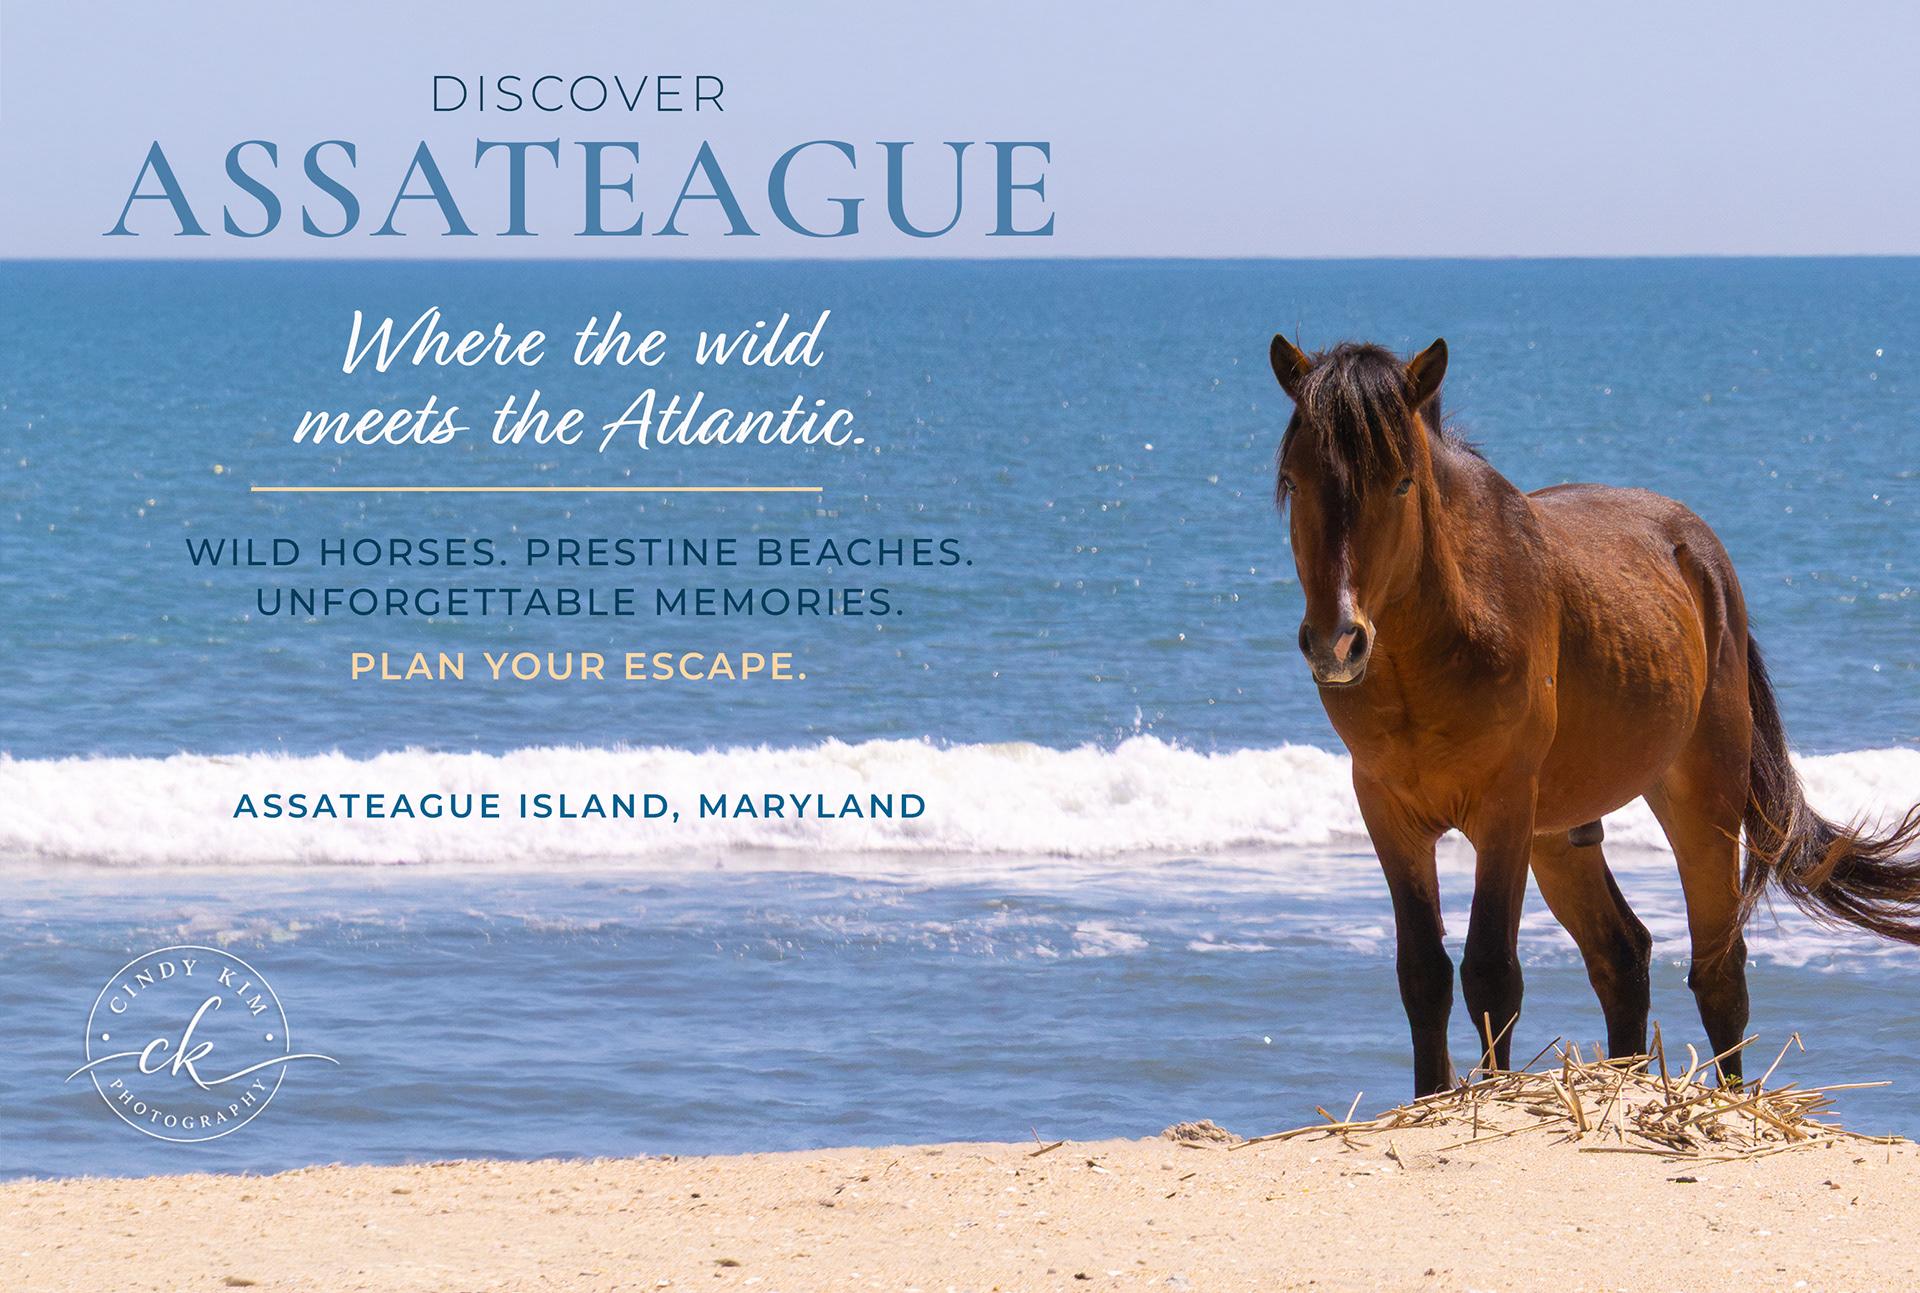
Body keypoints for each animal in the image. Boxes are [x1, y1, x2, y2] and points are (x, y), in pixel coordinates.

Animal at [1267, 333, 1920, 1097]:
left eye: (1401, 483)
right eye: (1295, 481)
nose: (1336, 641)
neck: (1442, 636)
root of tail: (1699, 551)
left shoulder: (1504, 810)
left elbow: (1491, 972)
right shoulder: (1388, 813)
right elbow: (1423, 974)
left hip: (1700, 797)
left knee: (1719, 970)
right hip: (1559, 837)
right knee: (1622, 955)